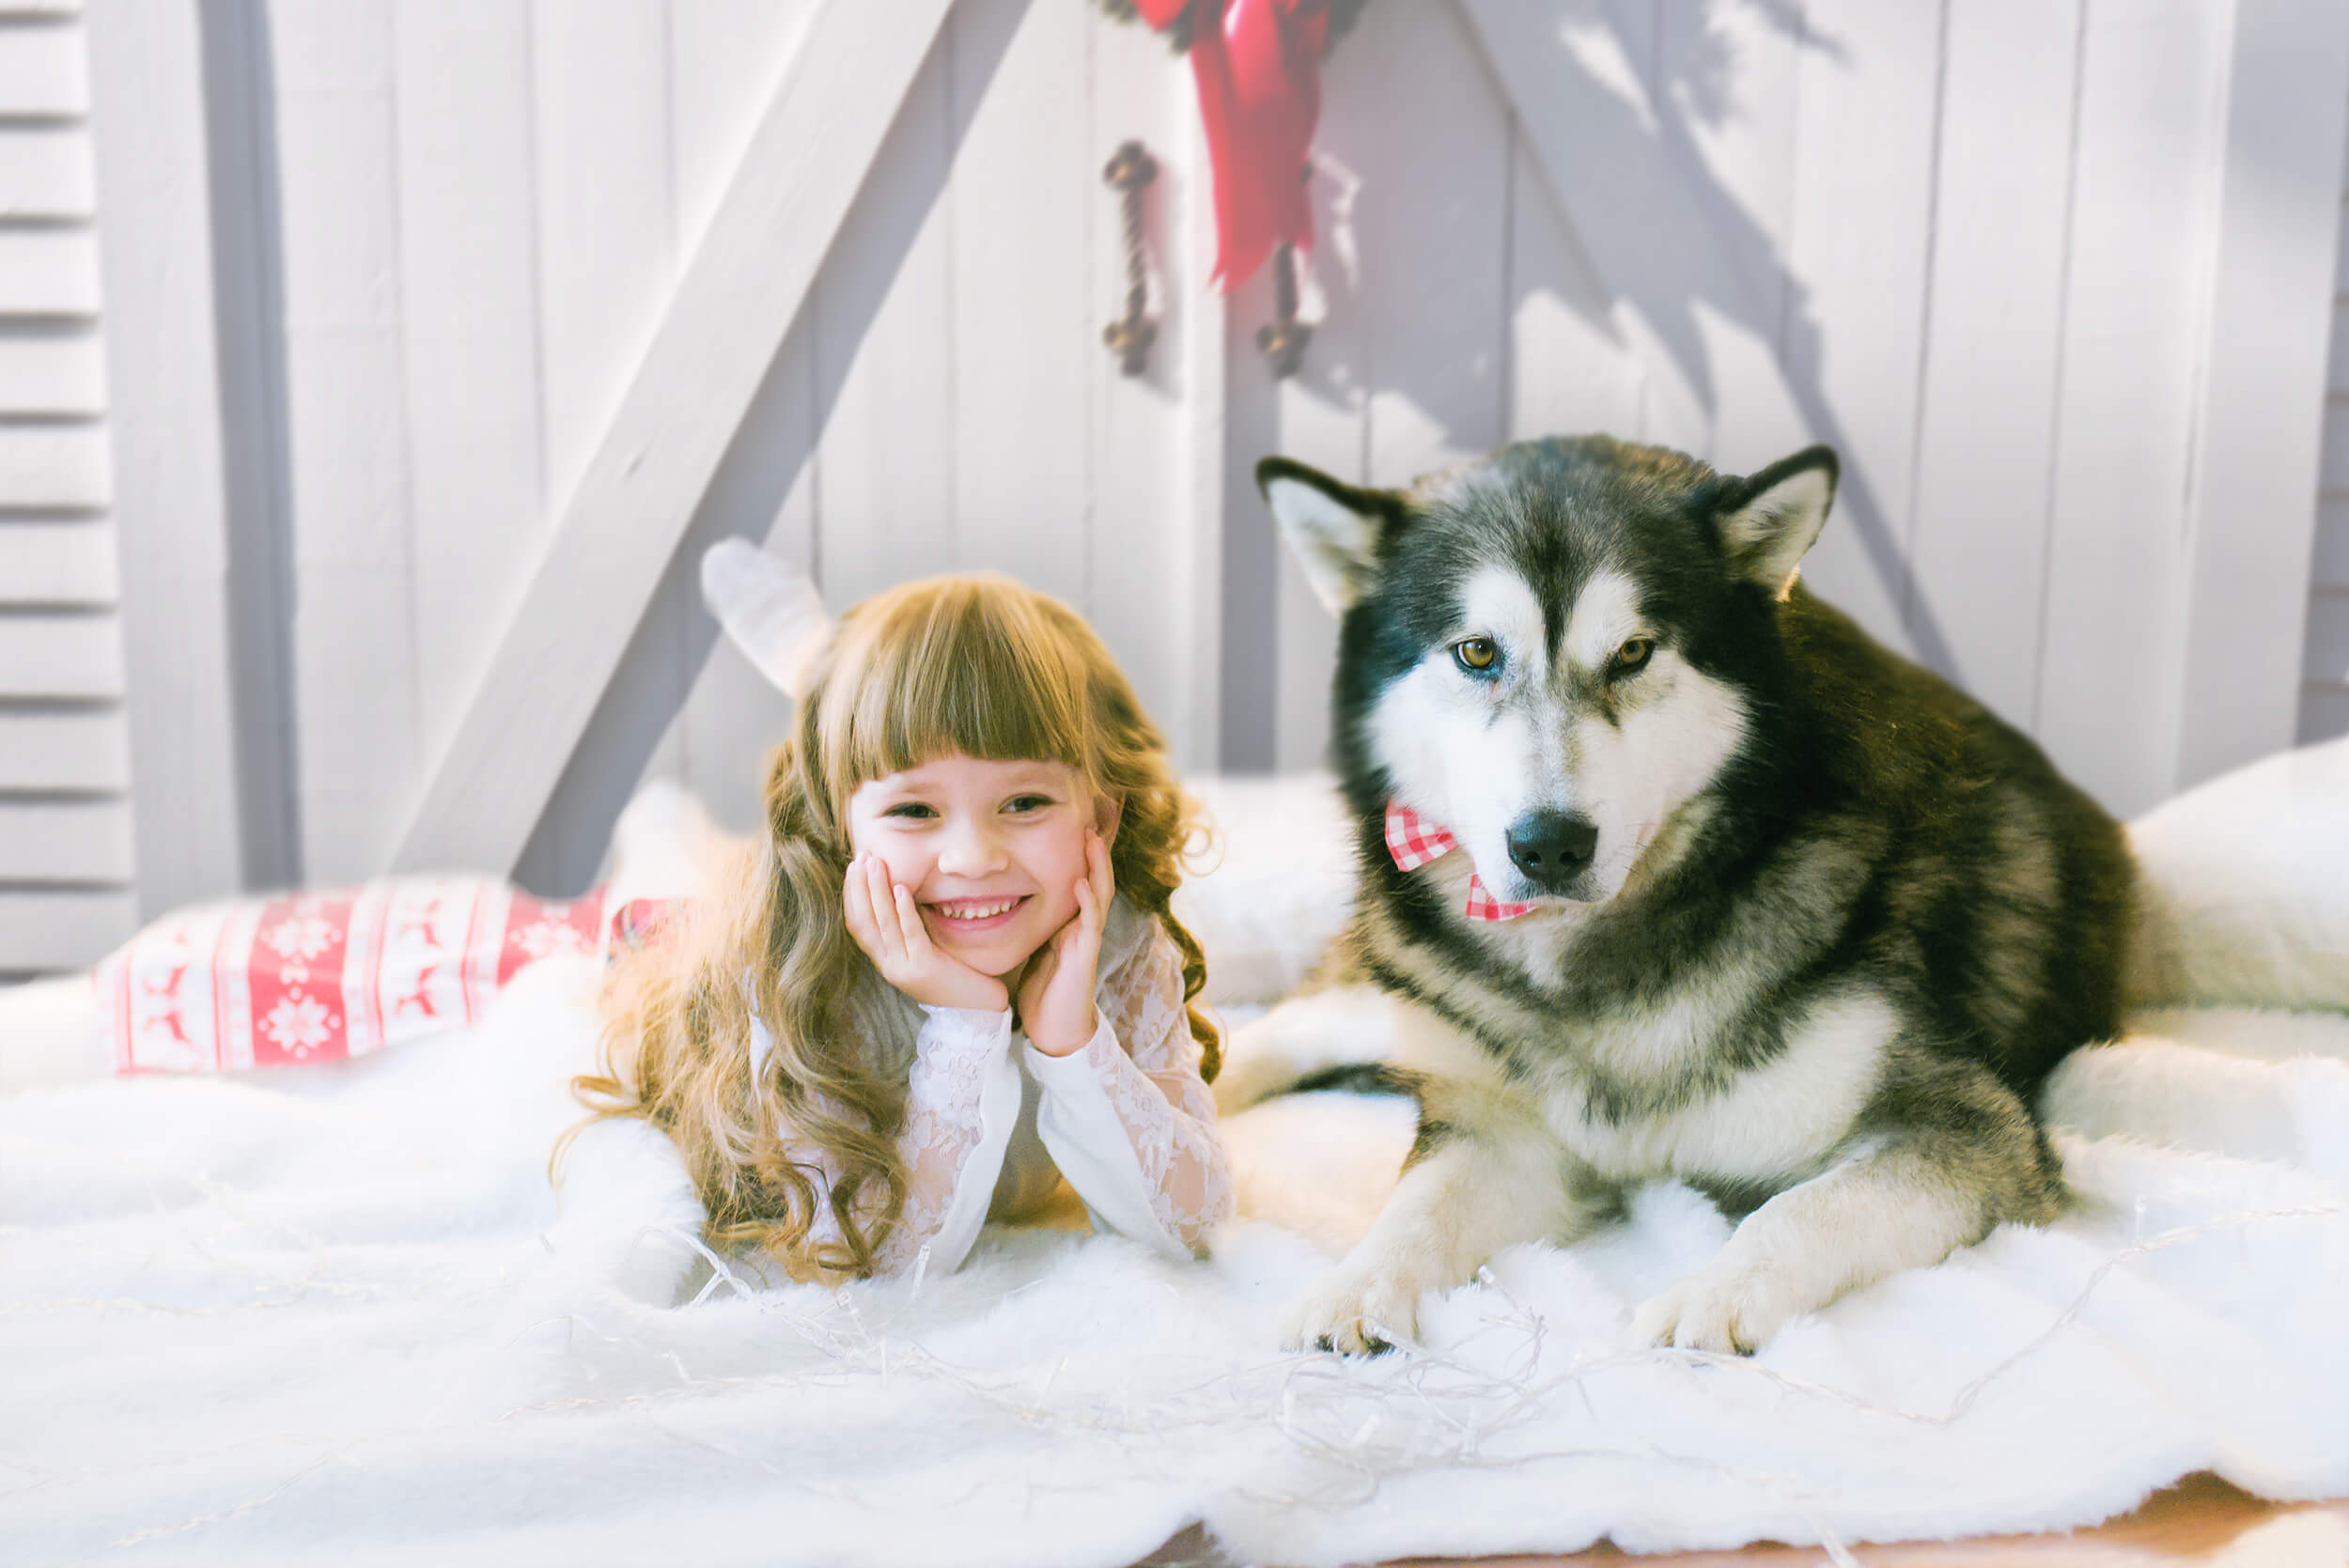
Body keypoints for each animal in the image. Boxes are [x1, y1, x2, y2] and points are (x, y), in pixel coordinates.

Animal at [1240, 434, 2142, 1352]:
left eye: (1634, 652)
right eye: (1478, 652)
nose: (1549, 844)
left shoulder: (1965, 1128)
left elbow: (1805, 1206)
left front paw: (1715, 1294)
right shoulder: (1504, 1130)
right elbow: (1418, 1206)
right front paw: (1353, 1284)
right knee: (1286, 1025)